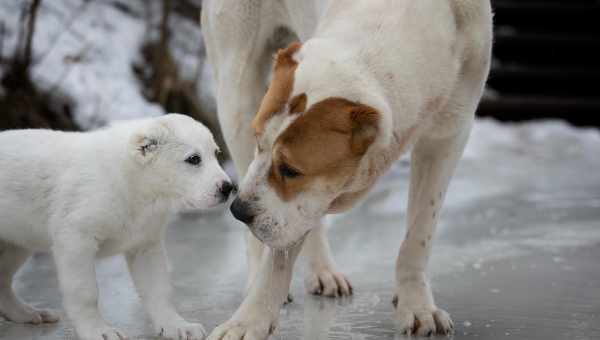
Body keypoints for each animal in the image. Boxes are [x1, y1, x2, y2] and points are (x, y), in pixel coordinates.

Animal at [0, 114, 232, 340]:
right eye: (193, 159)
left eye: (216, 153)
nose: (228, 188)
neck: (133, 181)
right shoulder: (76, 240)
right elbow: (85, 292)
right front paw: (97, 331)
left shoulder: (145, 244)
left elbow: (158, 288)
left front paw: (175, 325)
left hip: (15, 243)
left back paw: (27, 313)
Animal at [202, 1, 492, 338]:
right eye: (259, 141)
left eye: (290, 170)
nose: (239, 210)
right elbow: (277, 258)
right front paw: (248, 321)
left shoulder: (449, 134)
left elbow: (420, 232)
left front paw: (417, 305)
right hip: (236, 91)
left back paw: (323, 272)